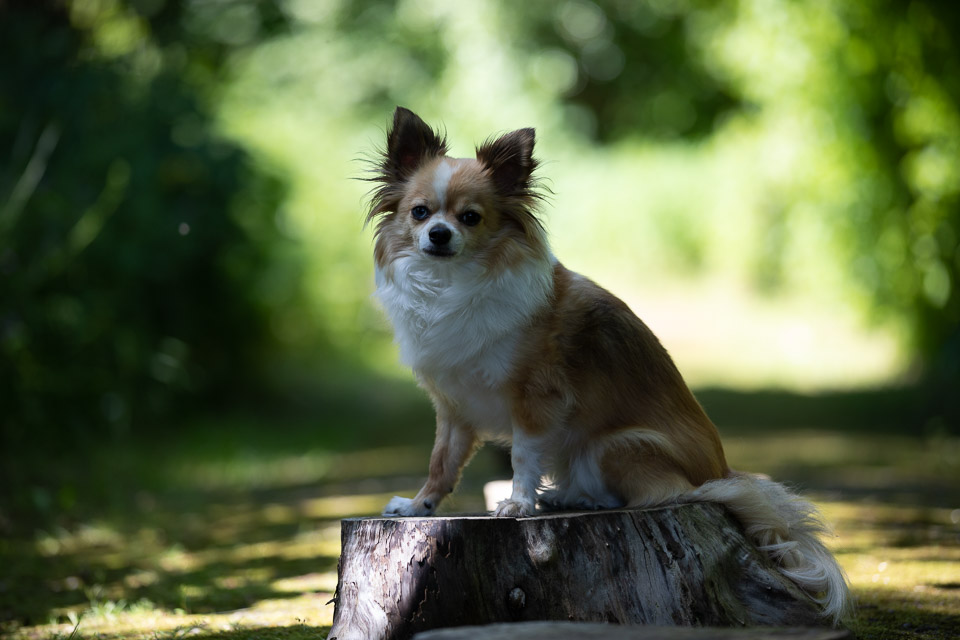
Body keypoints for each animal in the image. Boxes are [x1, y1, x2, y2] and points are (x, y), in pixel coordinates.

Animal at [362, 107, 848, 624]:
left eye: (470, 218)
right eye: (420, 212)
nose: (439, 234)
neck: (450, 283)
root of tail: (722, 472)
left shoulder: (534, 399)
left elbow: (522, 456)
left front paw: (518, 503)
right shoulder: (453, 407)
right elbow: (442, 463)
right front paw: (419, 505)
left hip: (615, 446)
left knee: (657, 494)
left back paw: (570, 496)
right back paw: (562, 494)